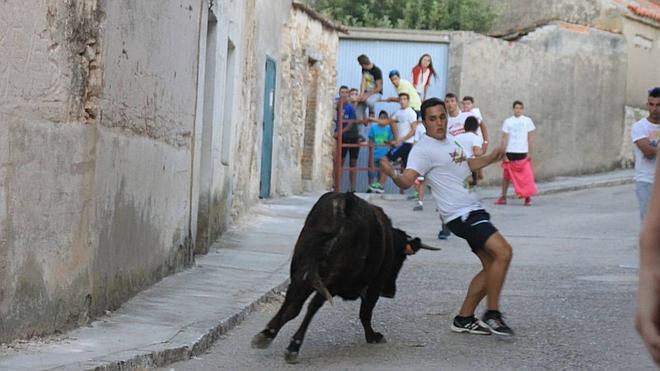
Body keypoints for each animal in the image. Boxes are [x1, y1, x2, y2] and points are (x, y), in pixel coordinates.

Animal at [251, 192, 438, 364]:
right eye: (401, 258)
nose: (390, 292)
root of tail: (343, 204)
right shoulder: (374, 286)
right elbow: (365, 312)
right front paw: (372, 336)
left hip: (301, 268)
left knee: (293, 303)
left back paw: (268, 334)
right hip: (332, 277)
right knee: (313, 305)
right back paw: (294, 346)